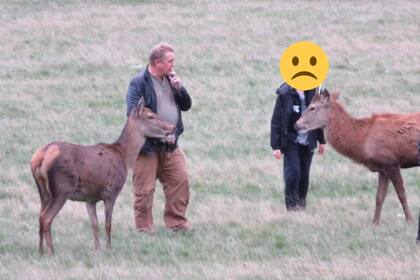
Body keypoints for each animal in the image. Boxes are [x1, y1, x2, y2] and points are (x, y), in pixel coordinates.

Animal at [30, 97, 176, 255]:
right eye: (150, 116)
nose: (173, 127)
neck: (124, 156)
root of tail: (39, 159)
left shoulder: (89, 198)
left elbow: (94, 224)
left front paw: (97, 249)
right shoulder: (111, 191)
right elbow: (108, 224)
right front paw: (109, 249)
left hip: (43, 192)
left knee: (40, 216)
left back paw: (40, 251)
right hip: (61, 189)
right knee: (46, 218)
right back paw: (52, 252)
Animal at [296, 90, 420, 225]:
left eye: (312, 108)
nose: (296, 125)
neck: (363, 140)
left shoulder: (391, 162)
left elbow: (401, 194)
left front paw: (410, 220)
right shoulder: (382, 167)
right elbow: (379, 197)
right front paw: (375, 223)